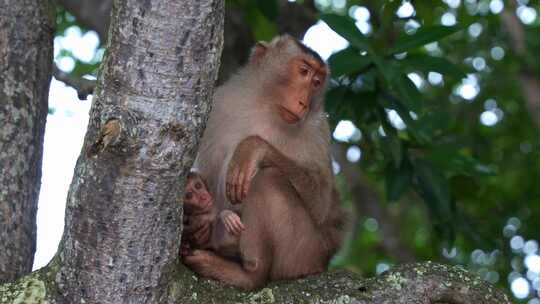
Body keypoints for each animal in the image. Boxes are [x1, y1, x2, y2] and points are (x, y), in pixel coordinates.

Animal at [180, 35, 346, 290]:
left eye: (317, 82)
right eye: (303, 71)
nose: (304, 103)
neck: (267, 108)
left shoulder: (317, 129)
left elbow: (322, 205)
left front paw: (253, 148)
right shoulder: (219, 104)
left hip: (303, 252)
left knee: (269, 179)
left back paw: (250, 275)